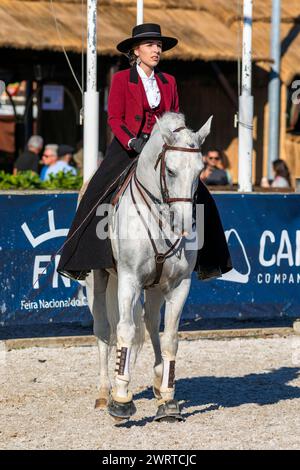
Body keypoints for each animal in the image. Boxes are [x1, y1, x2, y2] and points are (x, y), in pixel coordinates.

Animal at [84, 111, 212, 422]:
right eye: (171, 171)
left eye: (200, 170)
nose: (183, 225)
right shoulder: (129, 279)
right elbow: (125, 331)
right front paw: (121, 400)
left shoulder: (179, 284)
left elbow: (170, 338)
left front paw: (168, 399)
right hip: (98, 281)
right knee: (104, 328)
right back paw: (105, 392)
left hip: (154, 287)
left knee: (152, 323)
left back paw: (157, 384)